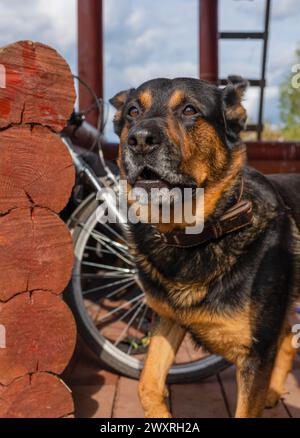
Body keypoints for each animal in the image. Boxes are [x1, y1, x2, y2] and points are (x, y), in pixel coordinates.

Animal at [110, 77, 300, 420]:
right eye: (132, 111)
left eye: (189, 110)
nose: (140, 140)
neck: (196, 235)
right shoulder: (167, 320)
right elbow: (147, 385)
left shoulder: (255, 354)